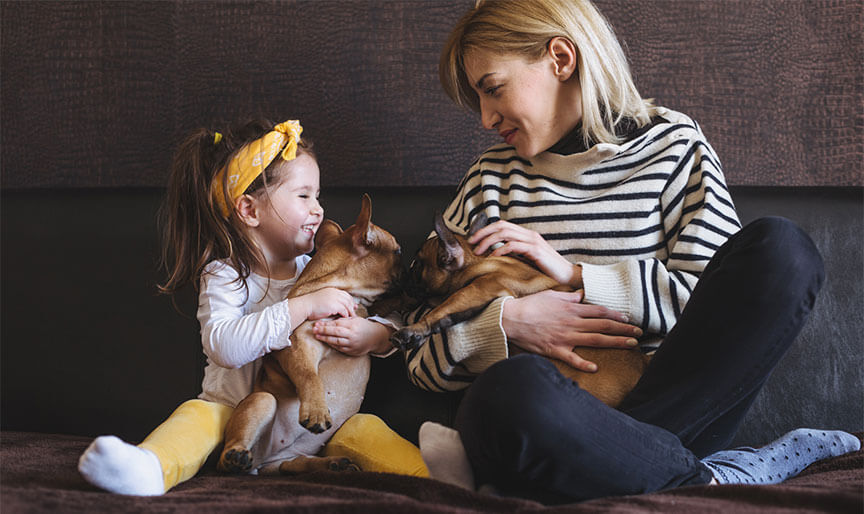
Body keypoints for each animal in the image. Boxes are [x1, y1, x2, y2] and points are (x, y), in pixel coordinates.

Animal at [218, 194, 404, 474]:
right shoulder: (298, 345)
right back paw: (235, 456)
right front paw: (317, 411)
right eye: (398, 251)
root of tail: (262, 462)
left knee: (293, 464)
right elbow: (309, 376)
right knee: (229, 453)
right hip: (262, 400)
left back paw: (334, 464)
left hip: (288, 458)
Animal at [392, 212, 648, 408]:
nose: (404, 277)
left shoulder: (480, 288)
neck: (476, 260)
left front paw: (412, 329)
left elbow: (443, 307)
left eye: (417, 266)